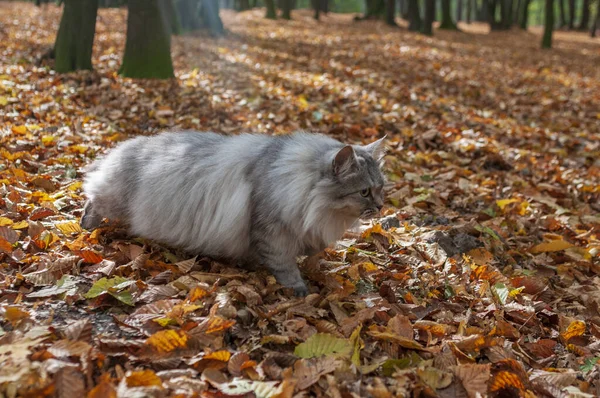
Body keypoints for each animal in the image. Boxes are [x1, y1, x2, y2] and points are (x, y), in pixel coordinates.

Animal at [81, 131, 384, 296]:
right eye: (364, 192)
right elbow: (284, 263)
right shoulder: (271, 229)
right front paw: (297, 286)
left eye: (381, 188)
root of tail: (124, 146)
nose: (381, 206)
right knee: (92, 198)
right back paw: (86, 226)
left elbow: (312, 251)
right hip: (116, 200)